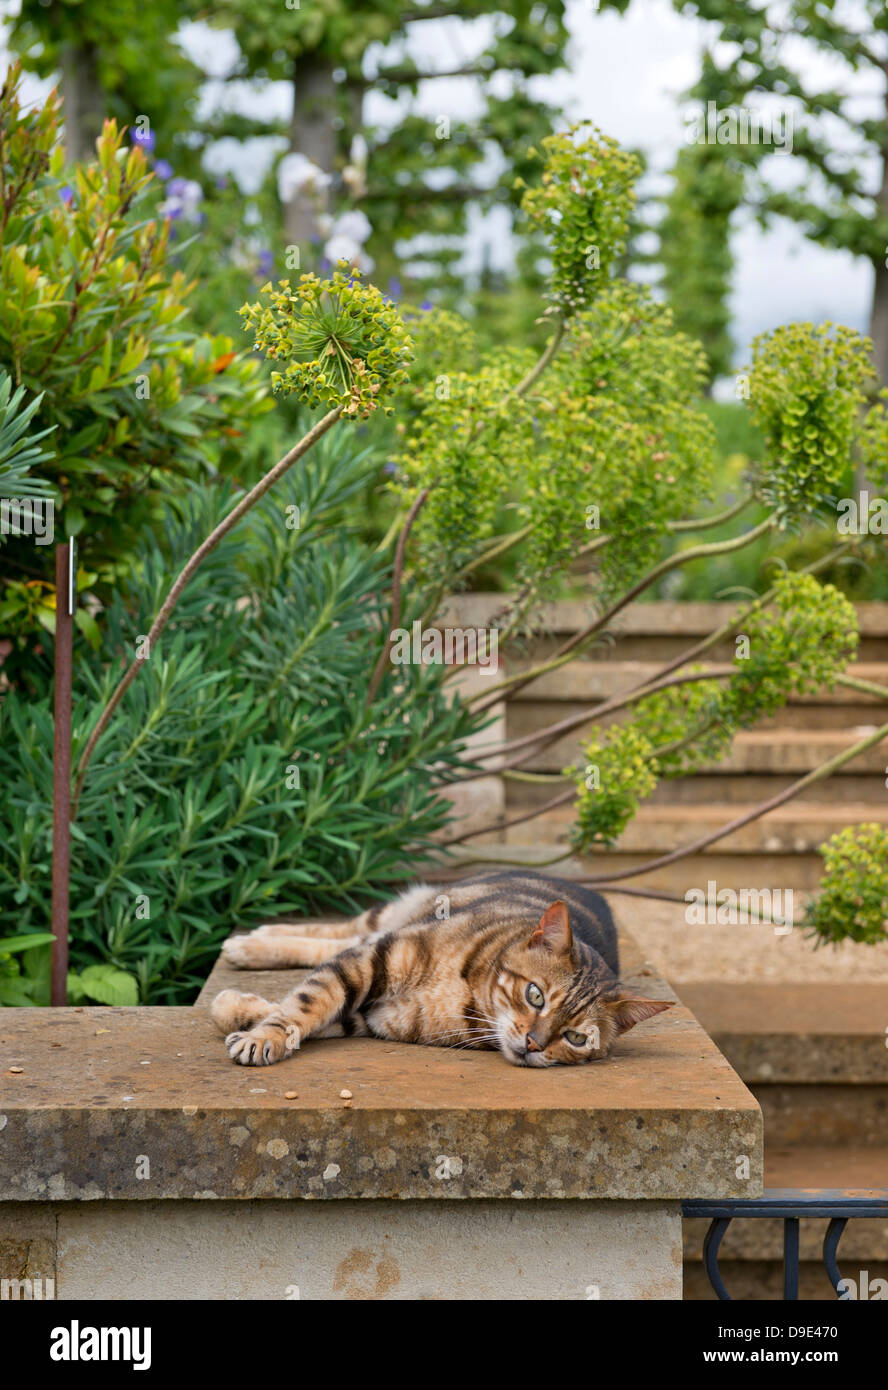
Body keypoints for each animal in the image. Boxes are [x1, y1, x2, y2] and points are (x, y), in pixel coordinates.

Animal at [211, 872, 669, 1067]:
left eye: (576, 1038)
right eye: (535, 995)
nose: (534, 1044)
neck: (467, 999)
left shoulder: (374, 1017)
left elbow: (311, 1006)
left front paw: (243, 1014)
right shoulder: (375, 959)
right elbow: (307, 1003)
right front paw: (262, 1036)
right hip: (397, 916)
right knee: (347, 931)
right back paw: (252, 941)